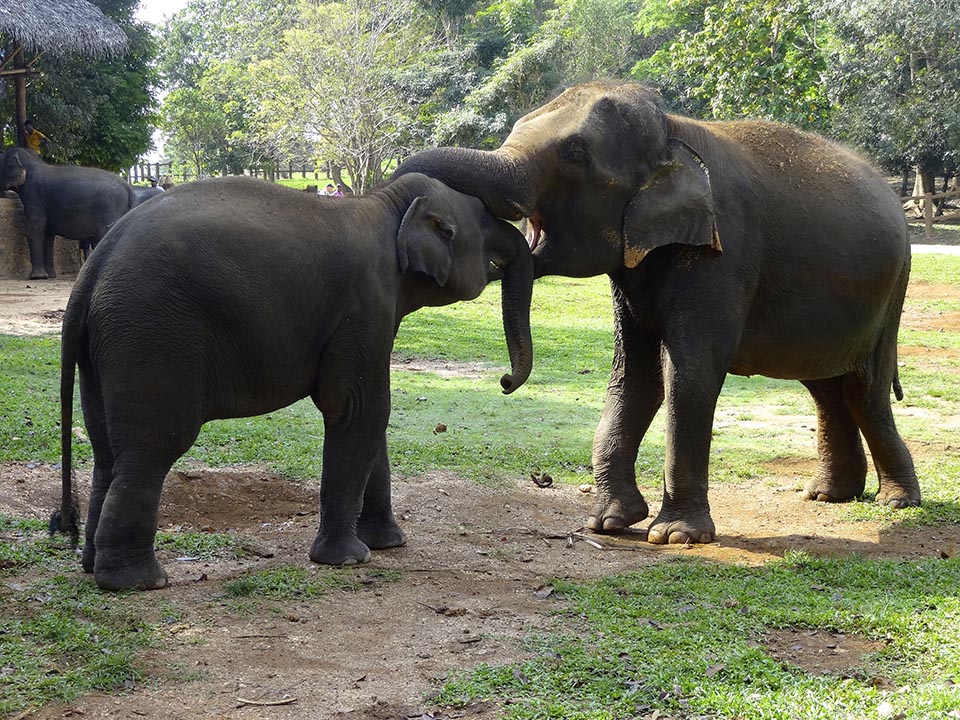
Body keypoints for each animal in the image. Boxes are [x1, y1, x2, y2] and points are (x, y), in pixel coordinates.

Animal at [0, 147, 137, 278]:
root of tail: (129, 188)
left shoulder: (34, 197)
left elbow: (35, 229)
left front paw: (37, 277)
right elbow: (48, 235)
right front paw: (50, 275)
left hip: (110, 209)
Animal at [52, 173, 534, 591]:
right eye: (484, 220)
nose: (505, 381)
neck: (387, 204)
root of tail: (93, 268)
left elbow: (369, 419)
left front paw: (387, 544)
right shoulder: (364, 304)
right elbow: (360, 410)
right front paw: (348, 559)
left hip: (105, 347)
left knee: (106, 451)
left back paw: (92, 565)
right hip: (153, 335)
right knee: (152, 449)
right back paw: (138, 582)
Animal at [395, 80, 920, 546]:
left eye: (574, 154)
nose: (505, 381)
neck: (671, 132)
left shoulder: (723, 253)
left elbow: (688, 371)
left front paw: (675, 535)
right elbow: (635, 373)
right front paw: (606, 523)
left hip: (892, 293)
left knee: (864, 389)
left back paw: (895, 501)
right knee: (825, 386)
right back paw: (828, 495)